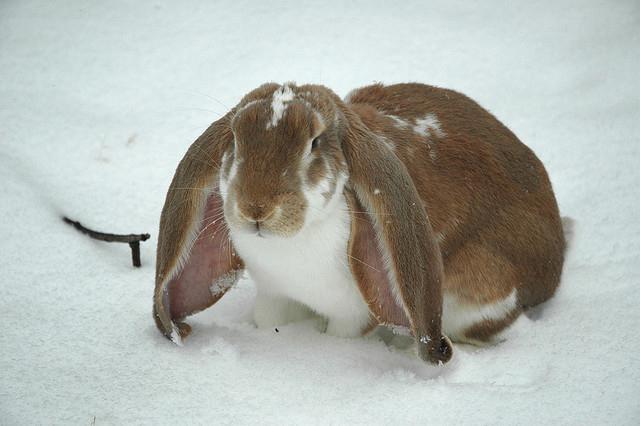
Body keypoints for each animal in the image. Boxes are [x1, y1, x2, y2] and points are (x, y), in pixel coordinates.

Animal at [151, 81, 564, 364]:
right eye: (235, 140)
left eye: (314, 142)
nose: (256, 208)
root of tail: (551, 270)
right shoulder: (274, 296)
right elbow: (270, 319)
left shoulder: (353, 313)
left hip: (478, 288)